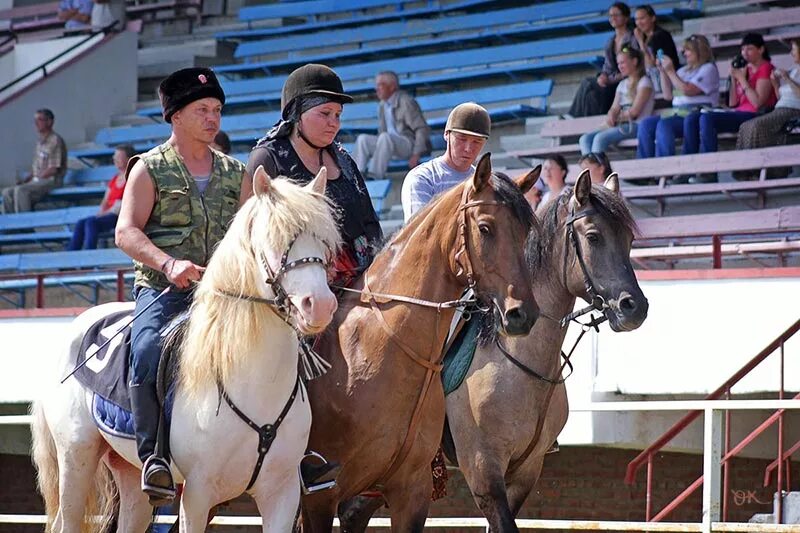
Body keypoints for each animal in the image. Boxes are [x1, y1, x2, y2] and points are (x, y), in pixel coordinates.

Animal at [31, 167, 340, 532]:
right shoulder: (197, 494)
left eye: (325, 242)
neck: (253, 384)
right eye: (277, 240)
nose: (319, 305)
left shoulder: (282, 493)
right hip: (76, 459)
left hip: (130, 475)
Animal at [340, 170, 648, 532]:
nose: (634, 307)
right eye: (594, 236)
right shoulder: (483, 471)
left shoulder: (526, 472)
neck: (519, 364)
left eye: (629, 239)